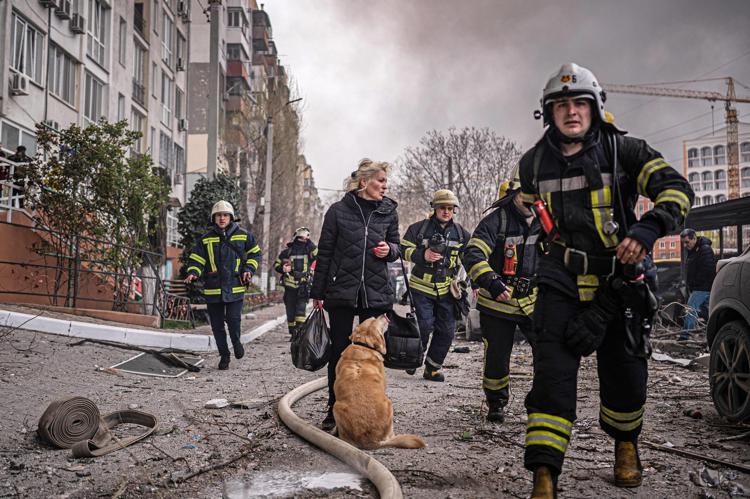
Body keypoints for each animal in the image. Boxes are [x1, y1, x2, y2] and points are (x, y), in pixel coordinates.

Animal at [332, 318, 426, 452]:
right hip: (388, 404)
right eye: (374, 319)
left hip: (337, 406)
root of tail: (371, 441)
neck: (363, 346)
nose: (383, 315)